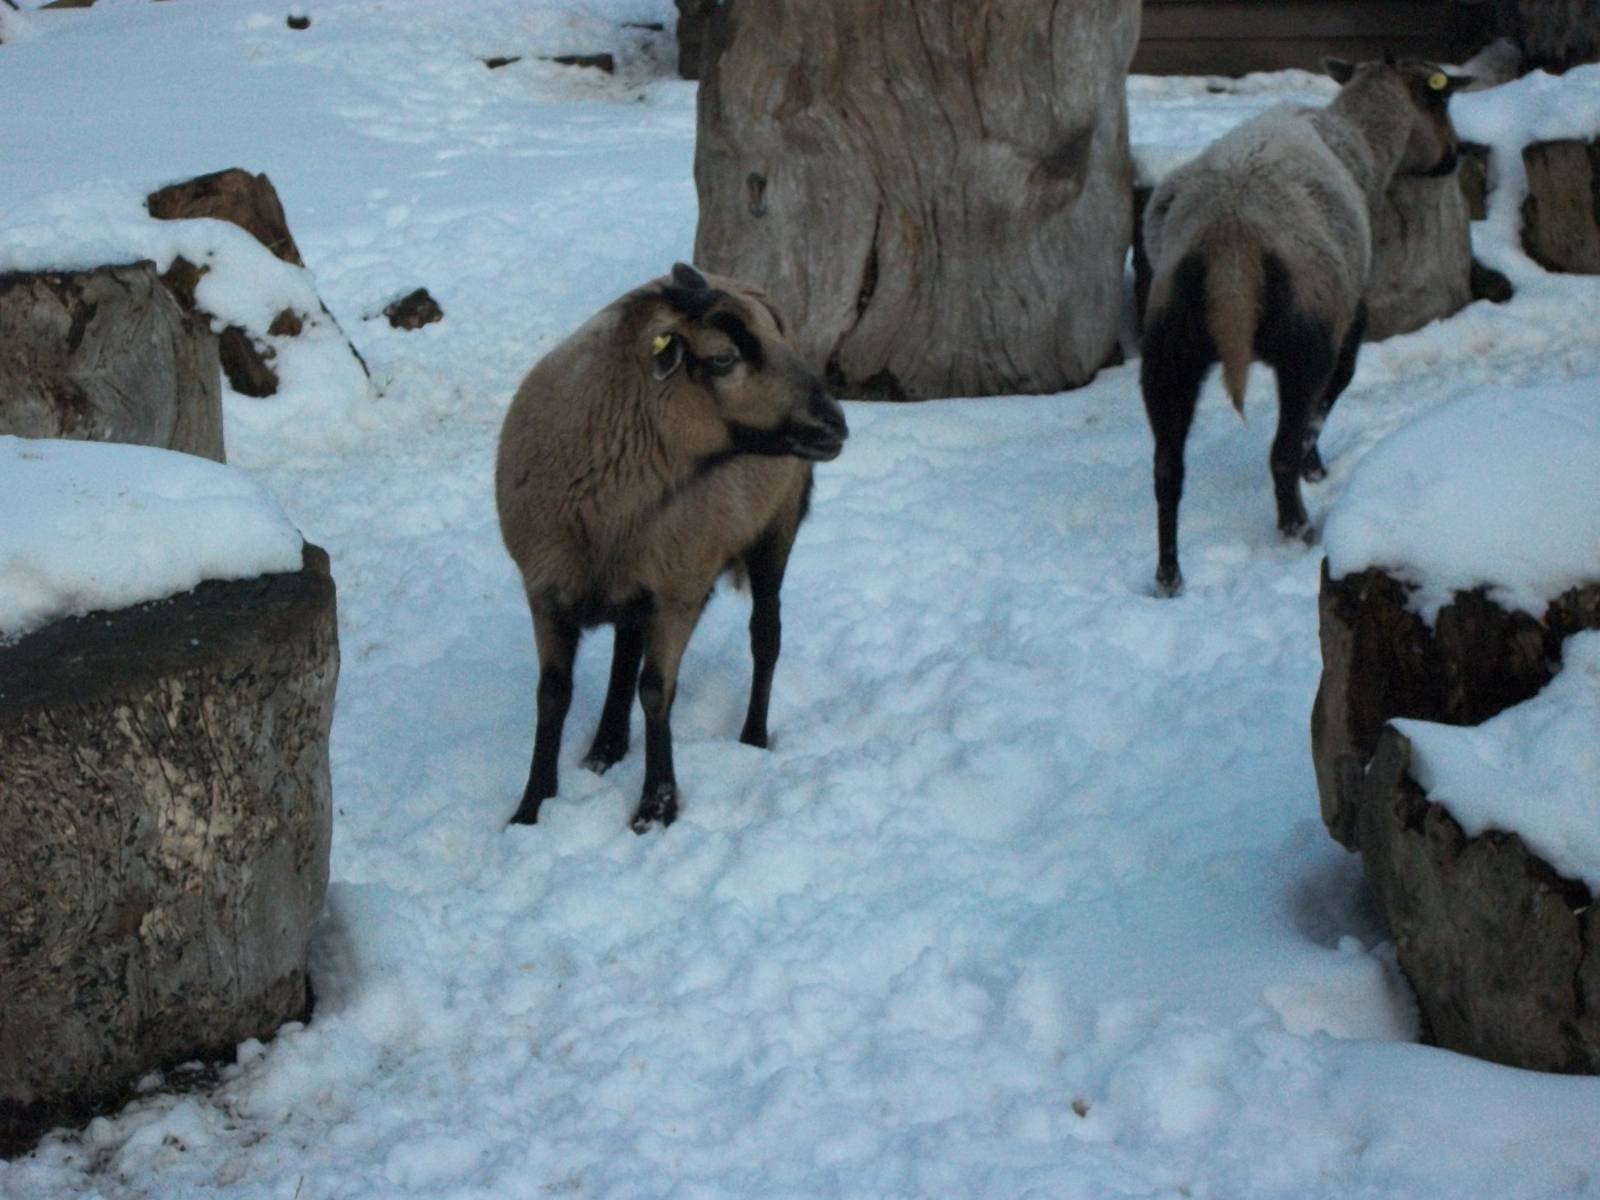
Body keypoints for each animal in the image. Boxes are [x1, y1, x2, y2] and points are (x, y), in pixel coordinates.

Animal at [495, 262, 848, 832]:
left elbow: (657, 690)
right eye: (723, 359)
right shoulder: (545, 589)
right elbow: (552, 694)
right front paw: (531, 809)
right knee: (626, 648)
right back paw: (605, 748)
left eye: (772, 338)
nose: (835, 422)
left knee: (765, 635)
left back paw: (752, 738)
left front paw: (655, 808)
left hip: (775, 525)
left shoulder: (678, 589)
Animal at [1139, 56, 1469, 597]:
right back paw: (1299, 527)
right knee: (1281, 449)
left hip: (1169, 348)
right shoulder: (1349, 319)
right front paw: (1317, 470)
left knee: (1167, 469)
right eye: (1441, 100)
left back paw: (1169, 576)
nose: (1457, 154)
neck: (1362, 137)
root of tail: (1229, 237)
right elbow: (1331, 397)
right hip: (1303, 341)